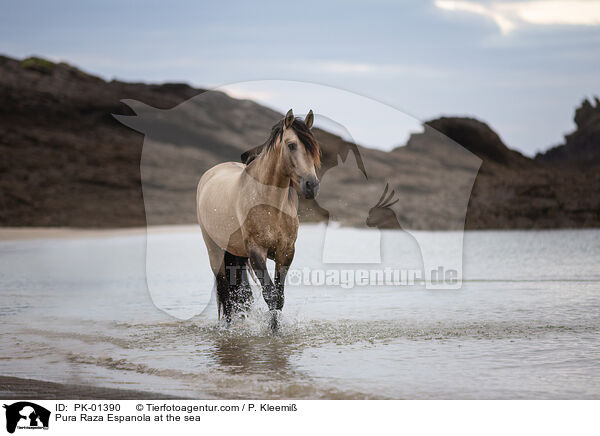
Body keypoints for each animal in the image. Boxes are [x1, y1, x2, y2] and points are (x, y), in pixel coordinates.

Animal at [196, 109, 318, 330]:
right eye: (291, 145)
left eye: (314, 147)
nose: (311, 185)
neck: (270, 205)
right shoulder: (256, 251)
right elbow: (270, 294)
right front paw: (273, 330)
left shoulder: (286, 252)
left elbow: (279, 296)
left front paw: (276, 329)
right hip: (215, 252)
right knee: (225, 291)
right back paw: (229, 328)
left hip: (236, 253)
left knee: (239, 290)